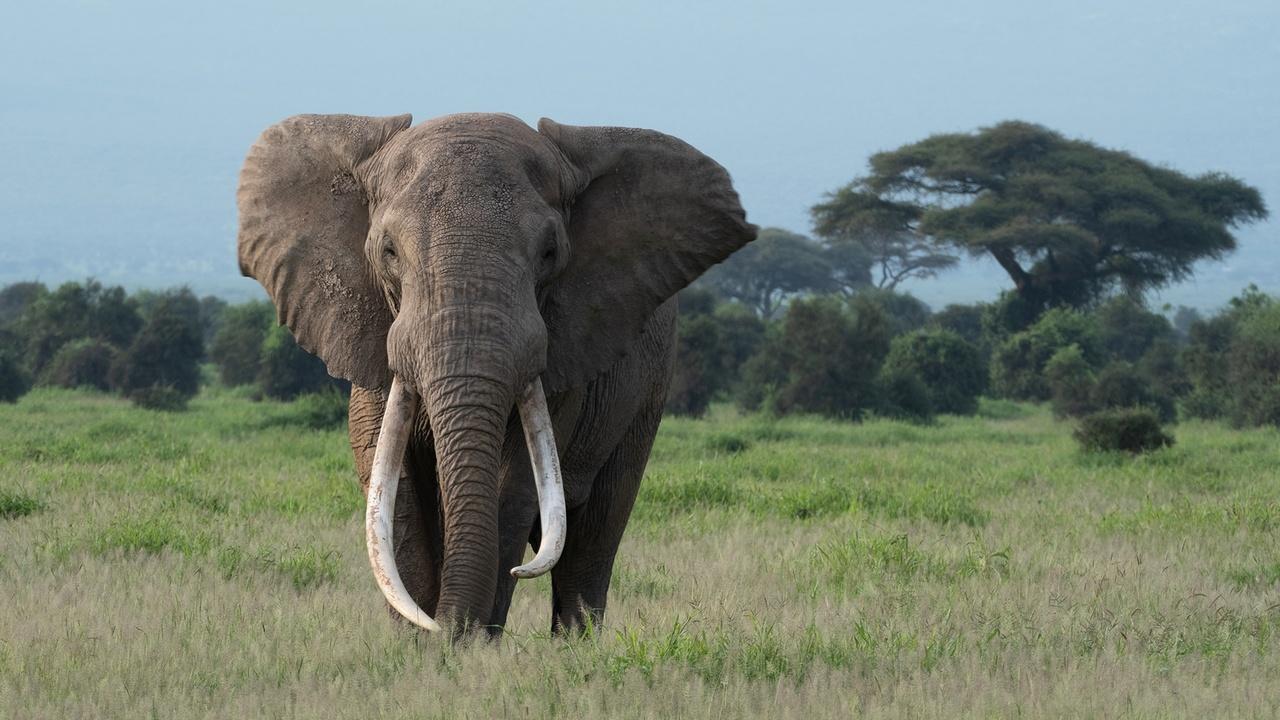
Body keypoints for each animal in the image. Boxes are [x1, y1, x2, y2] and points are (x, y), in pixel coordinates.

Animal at [236, 112, 756, 636]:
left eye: (549, 253)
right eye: (388, 252)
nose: (447, 629)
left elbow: (514, 489)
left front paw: (464, 643)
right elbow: (393, 494)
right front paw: (421, 642)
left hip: (649, 390)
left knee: (594, 536)